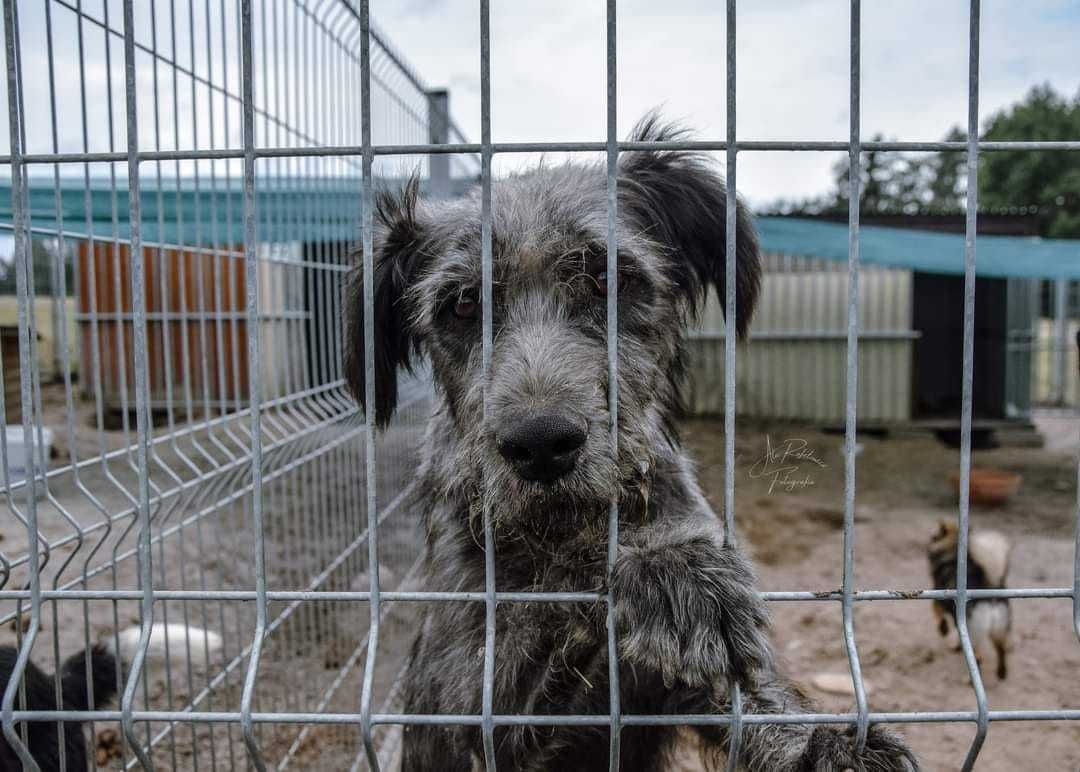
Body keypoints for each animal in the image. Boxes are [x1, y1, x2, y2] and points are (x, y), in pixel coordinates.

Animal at [345, 116, 920, 772]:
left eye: (608, 279)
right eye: (462, 304)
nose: (540, 445)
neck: (565, 530)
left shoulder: (709, 674)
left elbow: (752, 697)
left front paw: (826, 745)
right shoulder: (468, 715)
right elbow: (545, 651)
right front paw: (663, 570)